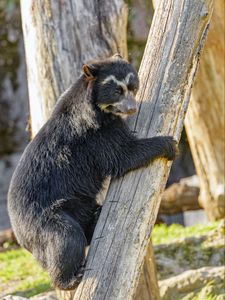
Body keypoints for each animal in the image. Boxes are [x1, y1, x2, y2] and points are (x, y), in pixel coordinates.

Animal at [7, 55, 178, 290]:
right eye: (117, 91)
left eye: (133, 87)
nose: (132, 109)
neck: (96, 109)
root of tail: (20, 236)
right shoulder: (95, 136)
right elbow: (124, 154)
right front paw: (170, 145)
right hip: (45, 219)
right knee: (67, 238)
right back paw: (70, 279)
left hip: (79, 204)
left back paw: (97, 217)